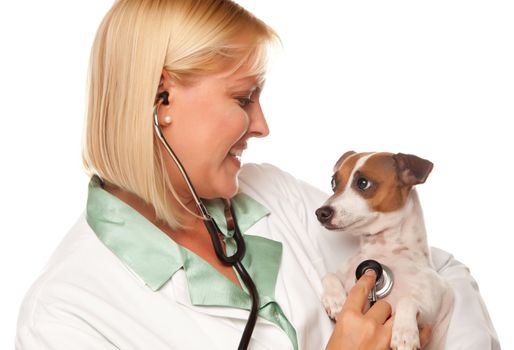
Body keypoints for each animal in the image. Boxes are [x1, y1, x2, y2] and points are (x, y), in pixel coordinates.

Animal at [316, 151, 452, 350]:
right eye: (334, 183)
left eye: (363, 183)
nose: (320, 213)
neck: (383, 249)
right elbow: (328, 275)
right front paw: (336, 300)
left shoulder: (429, 311)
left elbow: (407, 300)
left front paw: (404, 334)